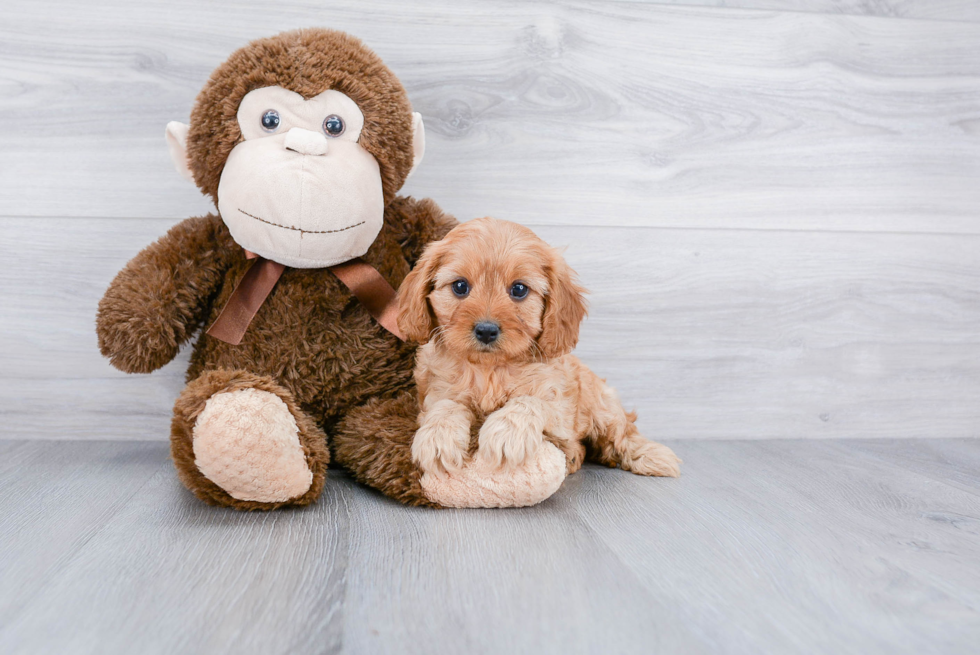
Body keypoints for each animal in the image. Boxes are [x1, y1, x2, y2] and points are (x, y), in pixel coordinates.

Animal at [394, 218, 676, 480]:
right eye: (460, 286)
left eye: (519, 289)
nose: (486, 330)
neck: (490, 370)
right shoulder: (437, 391)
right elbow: (445, 406)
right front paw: (437, 438)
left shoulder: (558, 403)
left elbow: (529, 401)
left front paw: (506, 434)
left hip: (602, 404)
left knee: (622, 432)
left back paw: (652, 456)